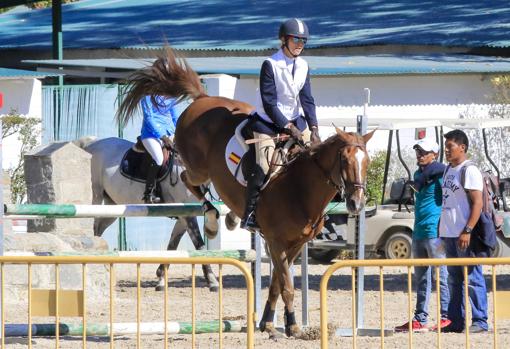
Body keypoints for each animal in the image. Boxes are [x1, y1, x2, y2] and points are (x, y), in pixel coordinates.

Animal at [77, 136, 225, 290]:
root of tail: (91, 143)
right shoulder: (187, 214)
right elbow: (199, 245)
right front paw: (212, 281)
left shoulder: (184, 214)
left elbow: (173, 244)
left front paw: (161, 277)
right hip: (96, 196)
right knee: (93, 226)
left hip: (113, 206)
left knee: (99, 228)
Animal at [119, 50, 374, 338]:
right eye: (344, 160)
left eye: (367, 162)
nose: (356, 202)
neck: (300, 187)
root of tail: (203, 98)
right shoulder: (276, 241)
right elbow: (286, 285)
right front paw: (293, 325)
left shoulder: (296, 244)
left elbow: (276, 284)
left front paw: (268, 322)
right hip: (198, 168)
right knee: (188, 180)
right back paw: (212, 220)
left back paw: (230, 218)